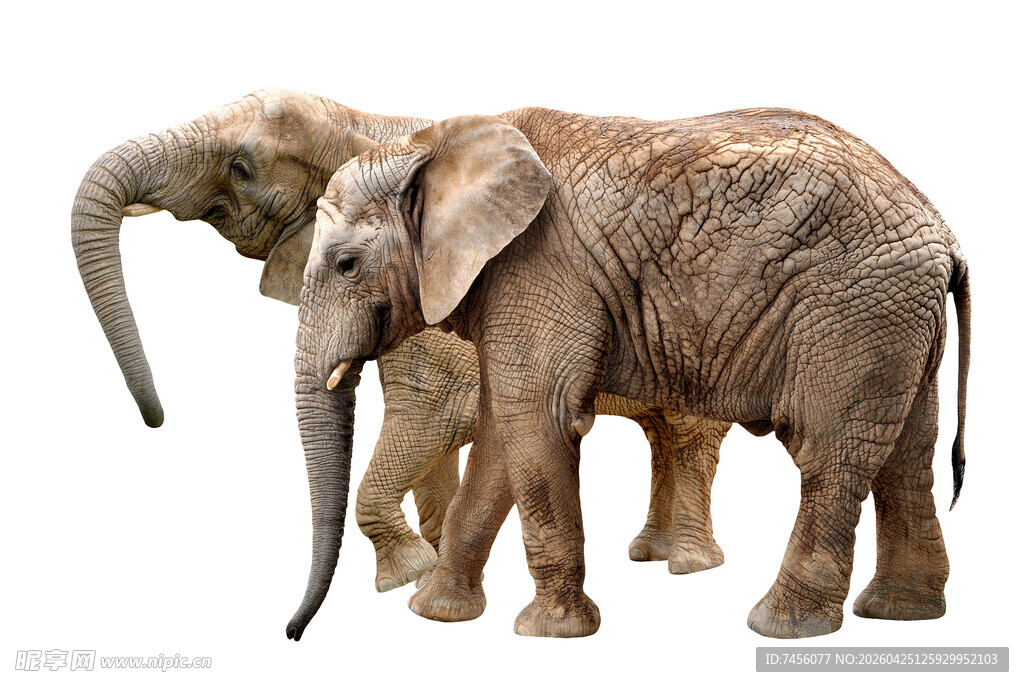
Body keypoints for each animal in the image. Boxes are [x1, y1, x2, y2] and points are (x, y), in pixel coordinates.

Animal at [71, 89, 730, 629]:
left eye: (241, 166)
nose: (156, 419)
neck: (368, 127)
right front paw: (431, 565)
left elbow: (434, 416)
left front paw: (407, 574)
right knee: (662, 431)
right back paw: (650, 553)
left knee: (690, 435)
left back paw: (689, 565)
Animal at [297, 108, 971, 639]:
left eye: (347, 264)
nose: (294, 634)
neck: (431, 146)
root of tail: (944, 234)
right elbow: (500, 431)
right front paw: (435, 614)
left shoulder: (541, 267)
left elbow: (537, 418)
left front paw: (550, 633)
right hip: (897, 320)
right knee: (908, 454)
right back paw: (900, 614)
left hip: (852, 310)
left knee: (829, 451)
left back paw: (780, 626)